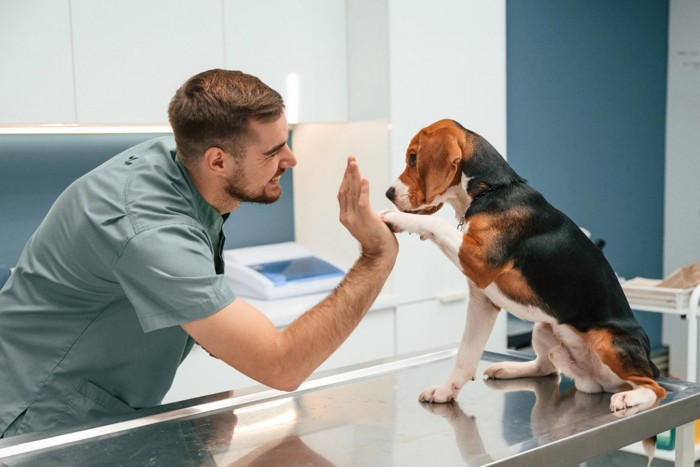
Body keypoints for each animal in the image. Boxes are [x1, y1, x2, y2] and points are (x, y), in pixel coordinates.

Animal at [382, 119, 668, 414]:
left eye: (413, 158)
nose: (388, 193)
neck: (491, 189)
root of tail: (595, 381)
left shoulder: (478, 261)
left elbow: (436, 223)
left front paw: (398, 219)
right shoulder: (482, 302)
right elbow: (465, 355)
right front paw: (444, 391)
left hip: (608, 341)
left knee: (654, 387)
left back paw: (629, 397)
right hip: (544, 328)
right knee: (547, 368)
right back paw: (508, 368)